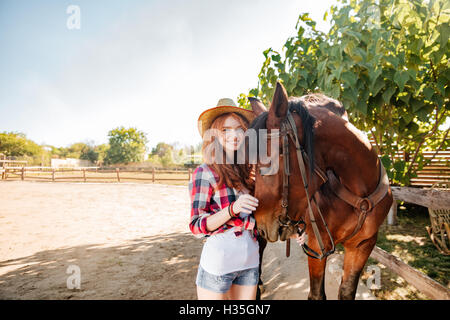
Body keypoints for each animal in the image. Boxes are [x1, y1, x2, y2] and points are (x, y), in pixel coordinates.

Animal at [248, 82, 392, 300]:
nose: (263, 223)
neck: (359, 194)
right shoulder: (317, 244)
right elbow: (317, 294)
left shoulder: (362, 245)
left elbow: (347, 292)